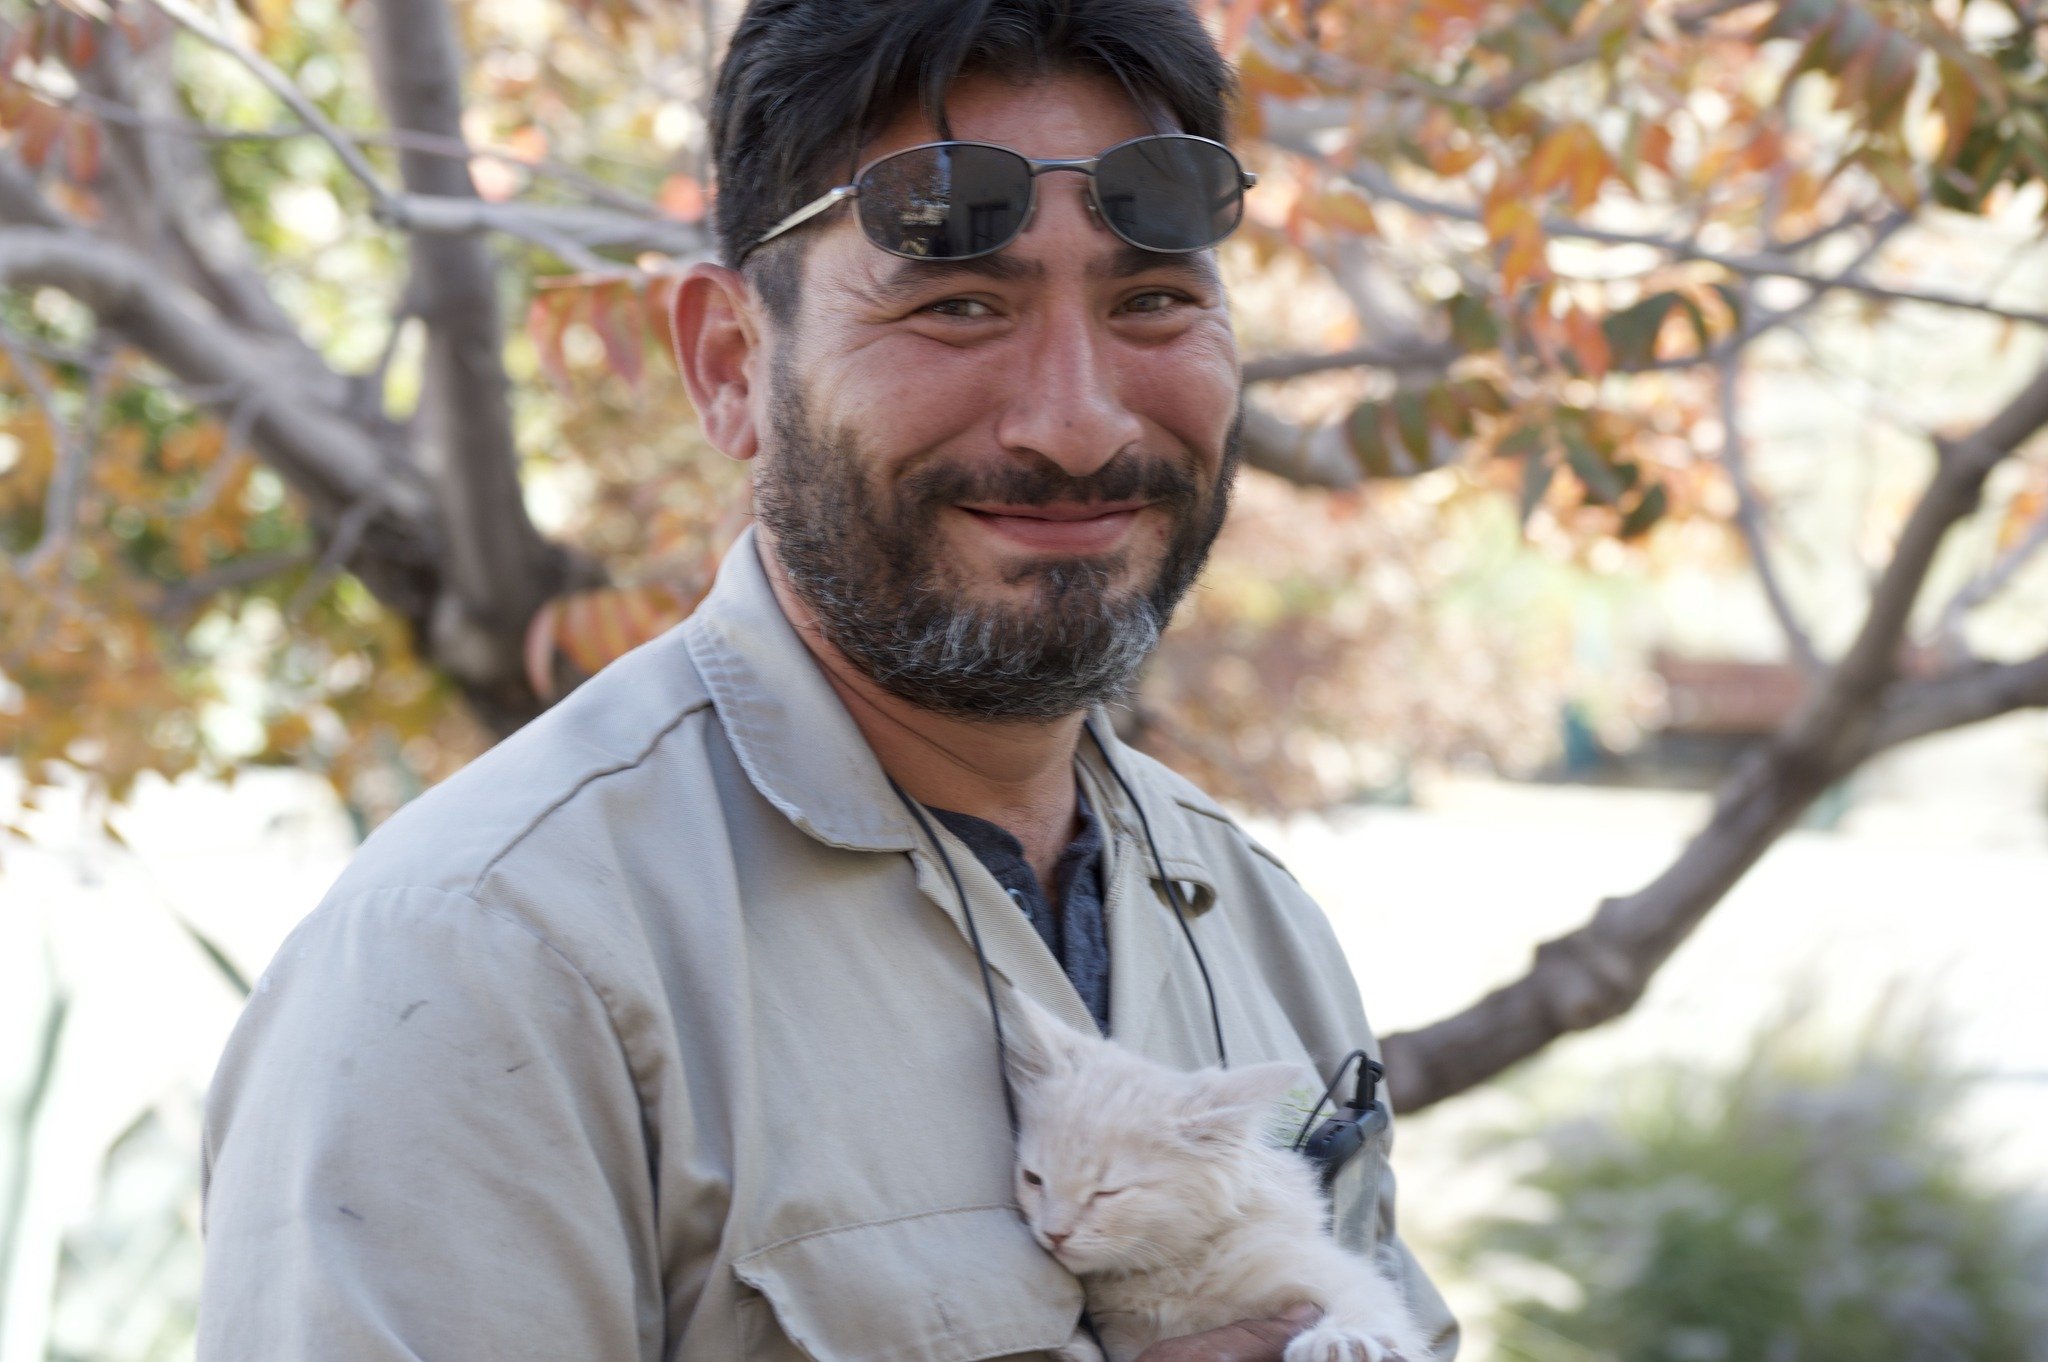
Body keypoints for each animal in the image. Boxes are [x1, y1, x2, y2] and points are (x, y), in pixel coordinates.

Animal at [1003, 995, 1425, 1359]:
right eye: (1033, 1179)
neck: (1174, 1269)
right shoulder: (1129, 1337)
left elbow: (1372, 1307)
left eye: (1106, 1193)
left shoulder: (1336, 1273)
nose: (1054, 1234)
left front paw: (1339, 1340)